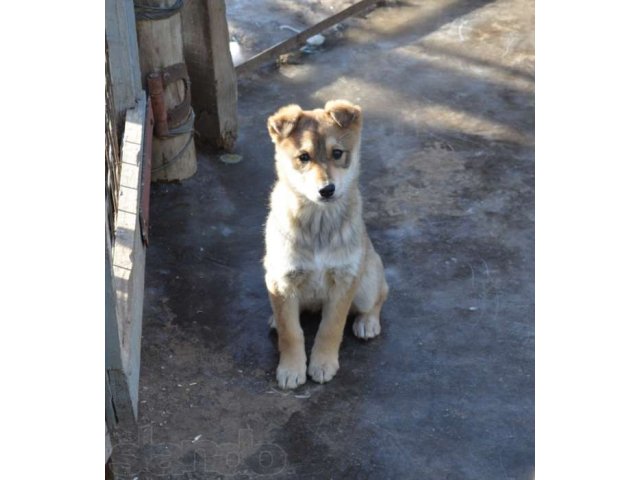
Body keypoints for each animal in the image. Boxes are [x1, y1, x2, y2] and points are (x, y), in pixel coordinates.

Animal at [262, 99, 388, 388]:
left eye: (337, 153)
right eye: (303, 157)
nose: (327, 190)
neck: (318, 224)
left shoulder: (344, 280)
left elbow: (331, 328)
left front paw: (323, 364)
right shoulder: (281, 280)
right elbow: (291, 332)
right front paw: (291, 369)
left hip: (366, 283)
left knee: (381, 293)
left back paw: (368, 322)